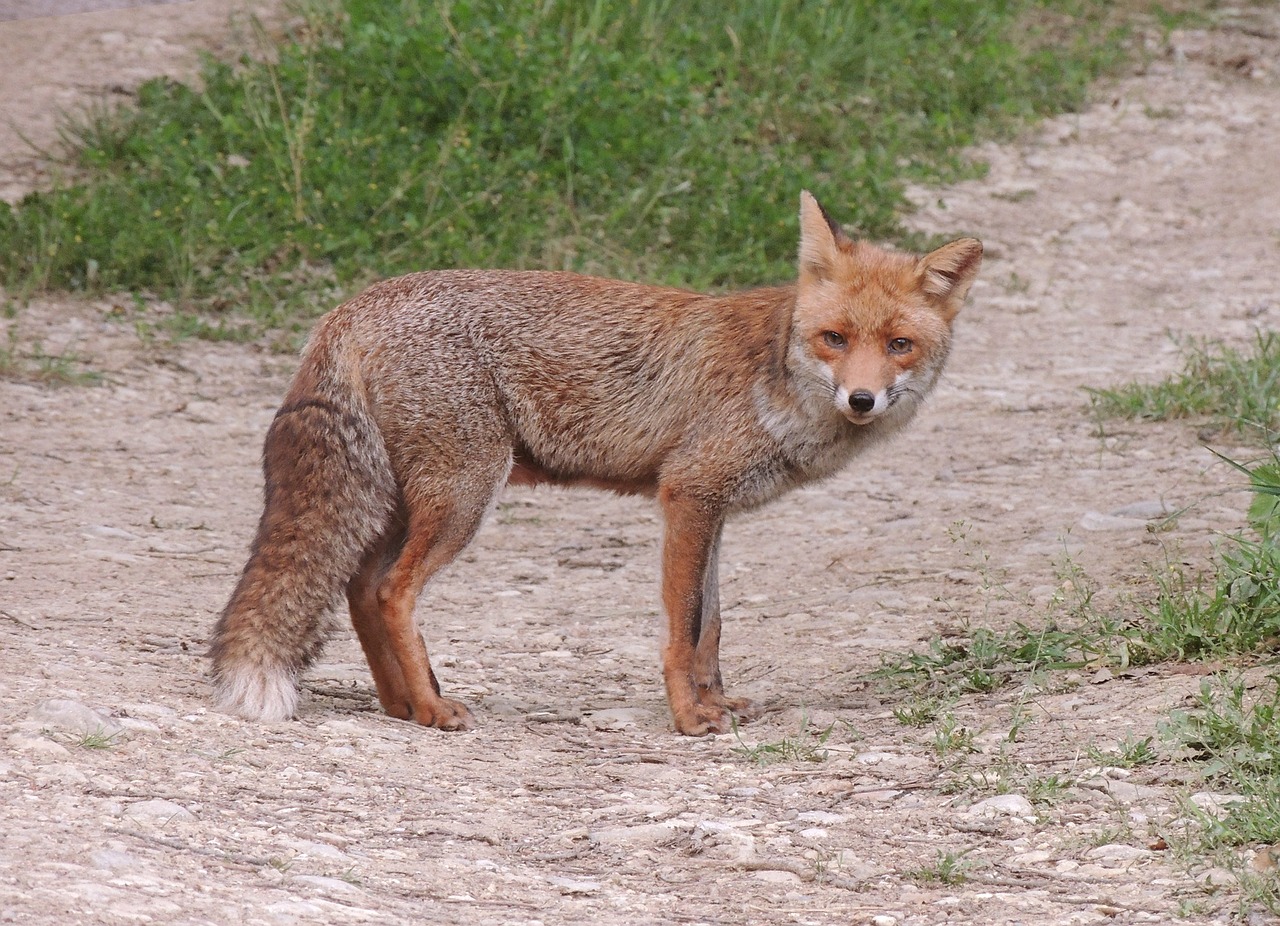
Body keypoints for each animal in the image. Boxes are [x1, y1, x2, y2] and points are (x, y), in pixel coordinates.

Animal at [209, 192, 977, 737]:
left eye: (900, 345)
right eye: (834, 338)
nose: (862, 399)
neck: (775, 377)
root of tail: (351, 306)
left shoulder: (713, 511)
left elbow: (712, 626)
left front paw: (719, 701)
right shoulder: (688, 495)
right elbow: (682, 628)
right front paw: (690, 719)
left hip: (407, 502)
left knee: (360, 588)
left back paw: (402, 705)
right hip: (462, 497)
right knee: (393, 591)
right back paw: (431, 710)